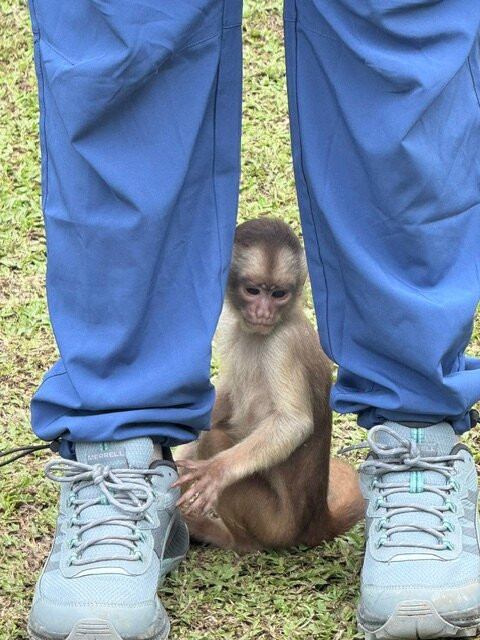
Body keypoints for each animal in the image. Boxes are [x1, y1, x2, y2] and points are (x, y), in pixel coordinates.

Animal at [172, 218, 364, 553]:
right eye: (253, 291)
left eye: (278, 294)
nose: (263, 313)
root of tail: (315, 520)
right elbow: (227, 395)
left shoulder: (282, 345)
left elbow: (294, 423)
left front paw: (217, 471)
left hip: (274, 525)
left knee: (215, 440)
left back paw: (234, 540)